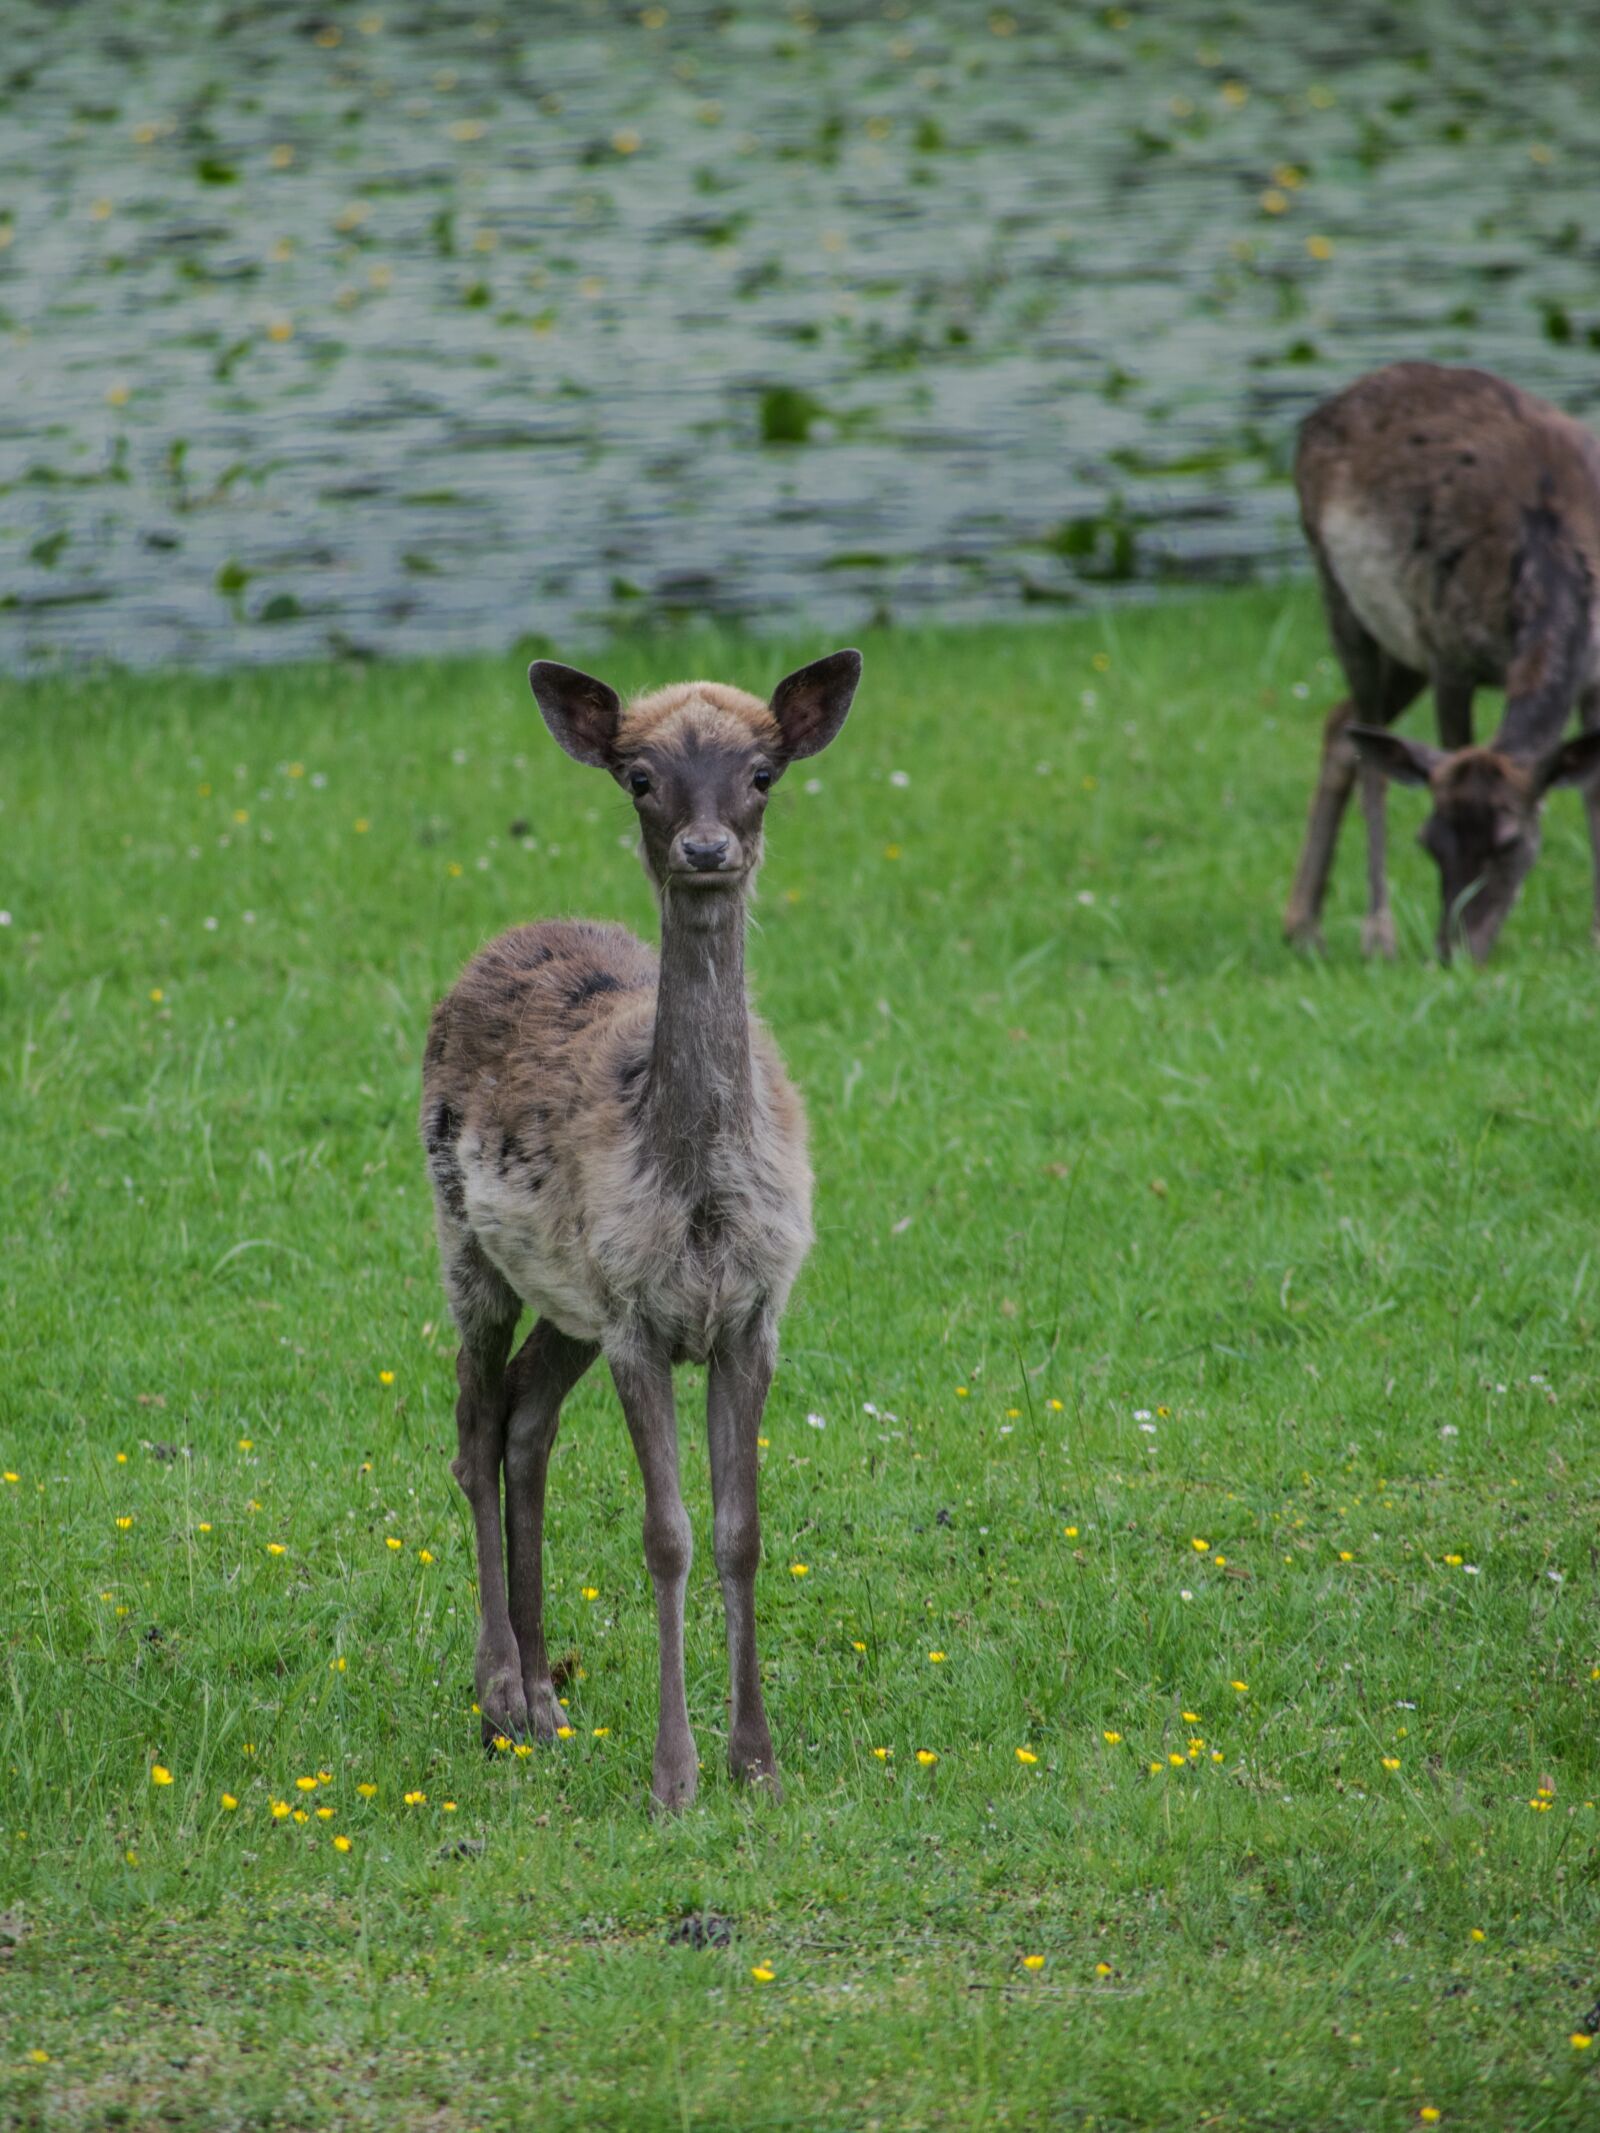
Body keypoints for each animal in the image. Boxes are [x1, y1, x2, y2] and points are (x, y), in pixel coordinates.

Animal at [420, 648, 862, 1811]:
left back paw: (543, 1693)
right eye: (640, 777)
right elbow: (666, 1535)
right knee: (474, 1426)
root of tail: (509, 937)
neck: (696, 1197)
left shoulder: (750, 1311)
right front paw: (674, 1777)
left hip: (566, 1291)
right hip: (465, 1243)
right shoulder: (633, 1316)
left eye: (762, 773)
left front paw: (758, 1761)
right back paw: (499, 1691)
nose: (706, 849)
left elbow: (741, 1533)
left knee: (526, 1418)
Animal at [1282, 361, 1600, 962]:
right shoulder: (1451, 654)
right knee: (1370, 749)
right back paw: (1373, 932)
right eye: (1429, 840)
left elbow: (1592, 790)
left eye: (1511, 843)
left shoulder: (1594, 677)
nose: (1454, 952)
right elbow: (1453, 747)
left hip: (1404, 647)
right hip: (1342, 596)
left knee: (1342, 724)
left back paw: (1302, 924)